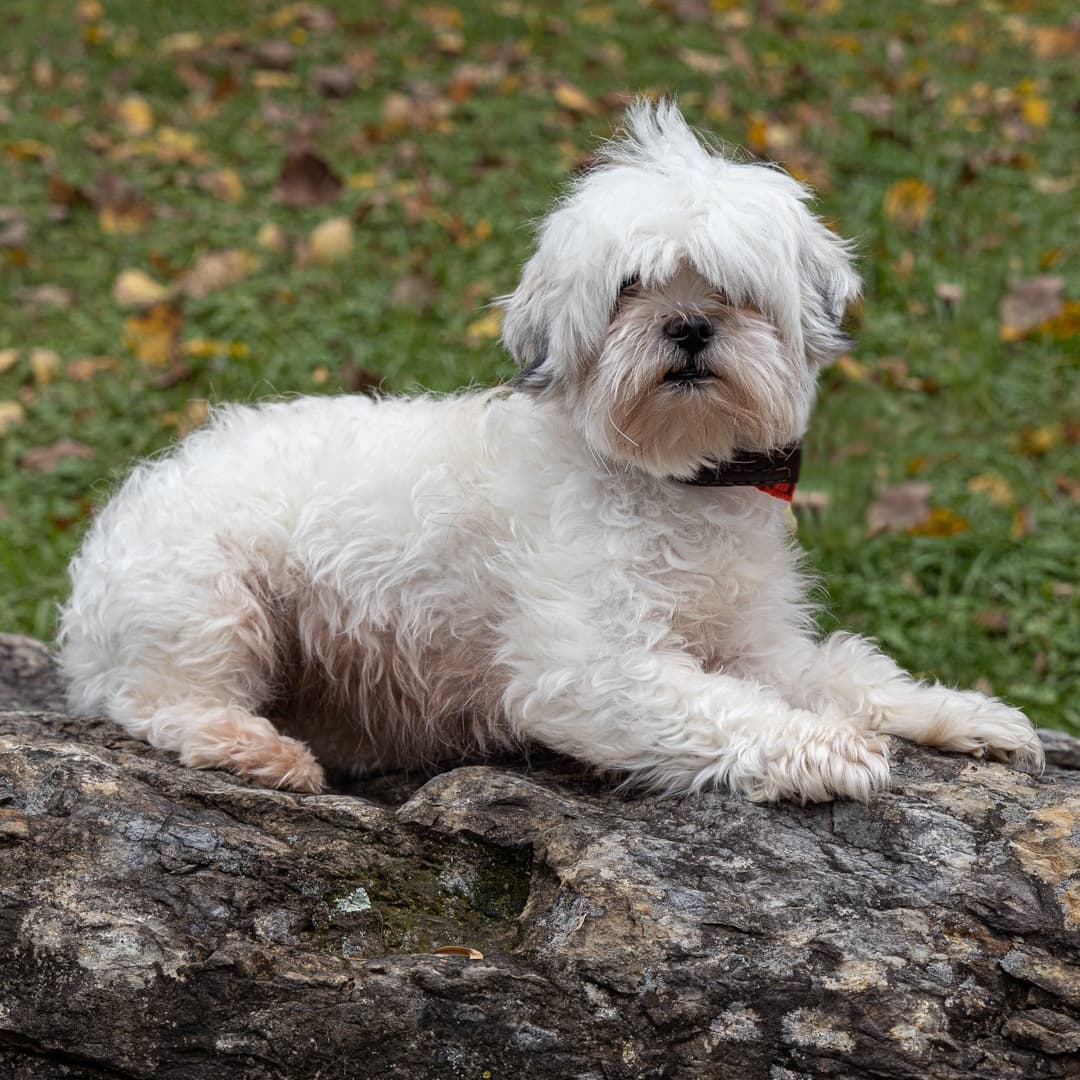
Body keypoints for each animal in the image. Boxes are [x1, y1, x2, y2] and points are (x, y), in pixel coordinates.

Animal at [54, 101, 1041, 799]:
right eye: (631, 288)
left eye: (732, 288)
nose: (688, 326)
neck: (672, 481)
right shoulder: (590, 670)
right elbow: (721, 708)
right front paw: (827, 748)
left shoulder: (757, 642)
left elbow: (848, 670)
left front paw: (960, 714)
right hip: (212, 602)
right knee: (155, 701)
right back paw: (257, 750)